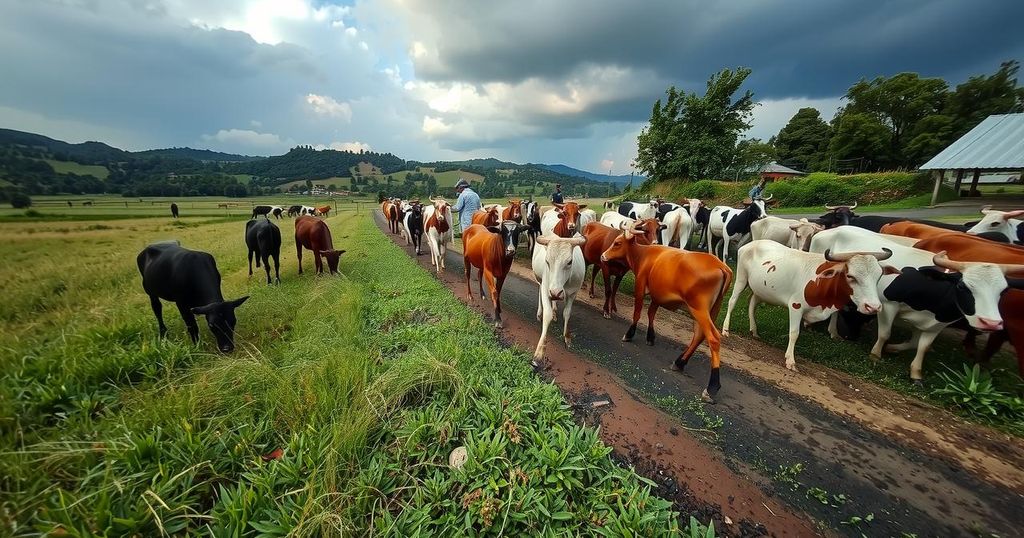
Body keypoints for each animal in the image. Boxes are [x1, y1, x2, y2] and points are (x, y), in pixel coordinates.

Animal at [598, 228, 737, 399]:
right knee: (699, 335)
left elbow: (637, 313)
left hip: (699, 309)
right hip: (712, 309)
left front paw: (629, 334)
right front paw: (650, 337)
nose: (603, 256)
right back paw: (680, 362)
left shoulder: (640, 287)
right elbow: (651, 313)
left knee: (713, 338)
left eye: (617, 243)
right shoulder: (657, 296)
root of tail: (721, 266)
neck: (644, 255)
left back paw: (712, 386)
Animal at [720, 240, 888, 370]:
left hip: (761, 289)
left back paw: (754, 330)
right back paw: (726, 329)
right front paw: (790, 359)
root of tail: (752, 243)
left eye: (879, 276)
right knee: (732, 301)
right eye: (850, 276)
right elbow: (794, 333)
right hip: (741, 278)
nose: (873, 307)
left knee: (752, 303)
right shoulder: (796, 305)